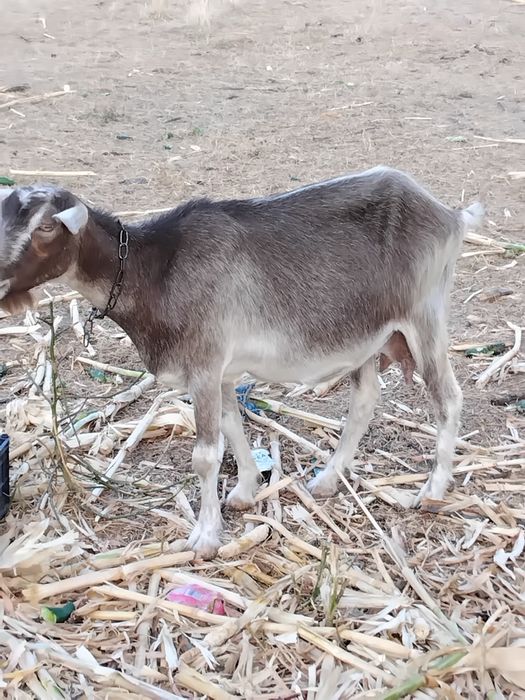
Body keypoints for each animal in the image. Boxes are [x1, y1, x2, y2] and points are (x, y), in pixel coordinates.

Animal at [0, 167, 484, 558]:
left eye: (46, 226)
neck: (156, 269)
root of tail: (450, 215)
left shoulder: (204, 363)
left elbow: (205, 455)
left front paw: (205, 537)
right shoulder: (222, 372)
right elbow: (233, 427)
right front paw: (245, 491)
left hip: (424, 318)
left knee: (448, 400)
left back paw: (432, 491)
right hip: (367, 336)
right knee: (365, 399)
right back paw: (328, 480)